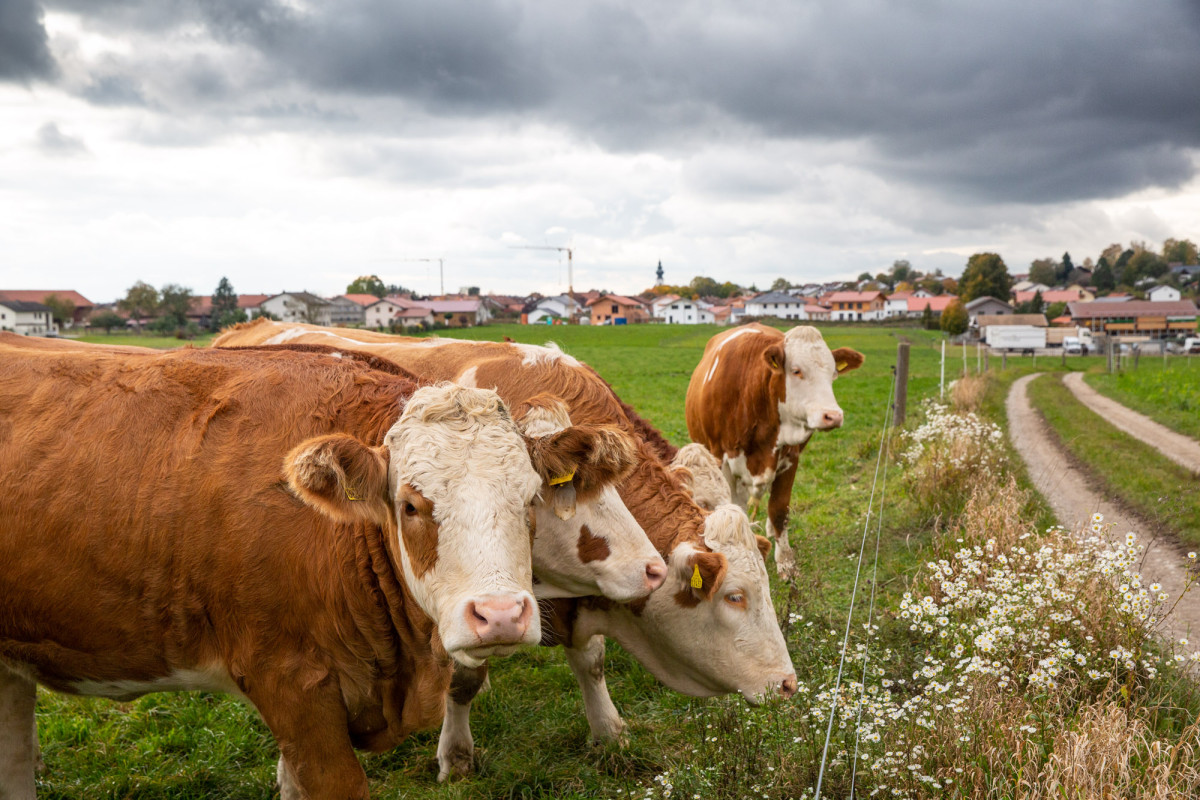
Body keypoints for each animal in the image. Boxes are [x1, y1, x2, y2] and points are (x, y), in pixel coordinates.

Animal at [214, 316, 801, 777]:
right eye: (735, 597)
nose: (788, 685)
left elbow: (590, 662)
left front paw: (608, 732)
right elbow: (464, 679)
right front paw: (455, 755)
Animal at [686, 321, 864, 578]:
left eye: (833, 374)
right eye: (796, 370)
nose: (833, 416)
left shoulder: (790, 458)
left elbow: (779, 510)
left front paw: (786, 562)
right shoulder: (722, 460)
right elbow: (732, 509)